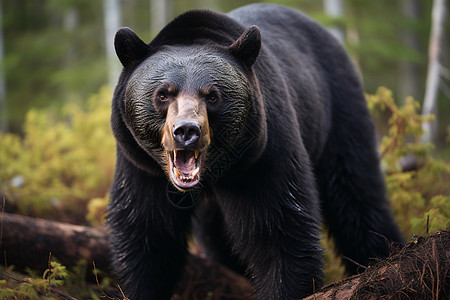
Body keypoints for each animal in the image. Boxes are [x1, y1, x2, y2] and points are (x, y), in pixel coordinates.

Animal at [108, 2, 404, 300]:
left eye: (212, 96)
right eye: (163, 94)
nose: (187, 131)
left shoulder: (260, 156)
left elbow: (279, 231)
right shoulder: (143, 168)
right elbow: (149, 236)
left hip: (339, 111)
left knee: (356, 195)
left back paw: (382, 255)